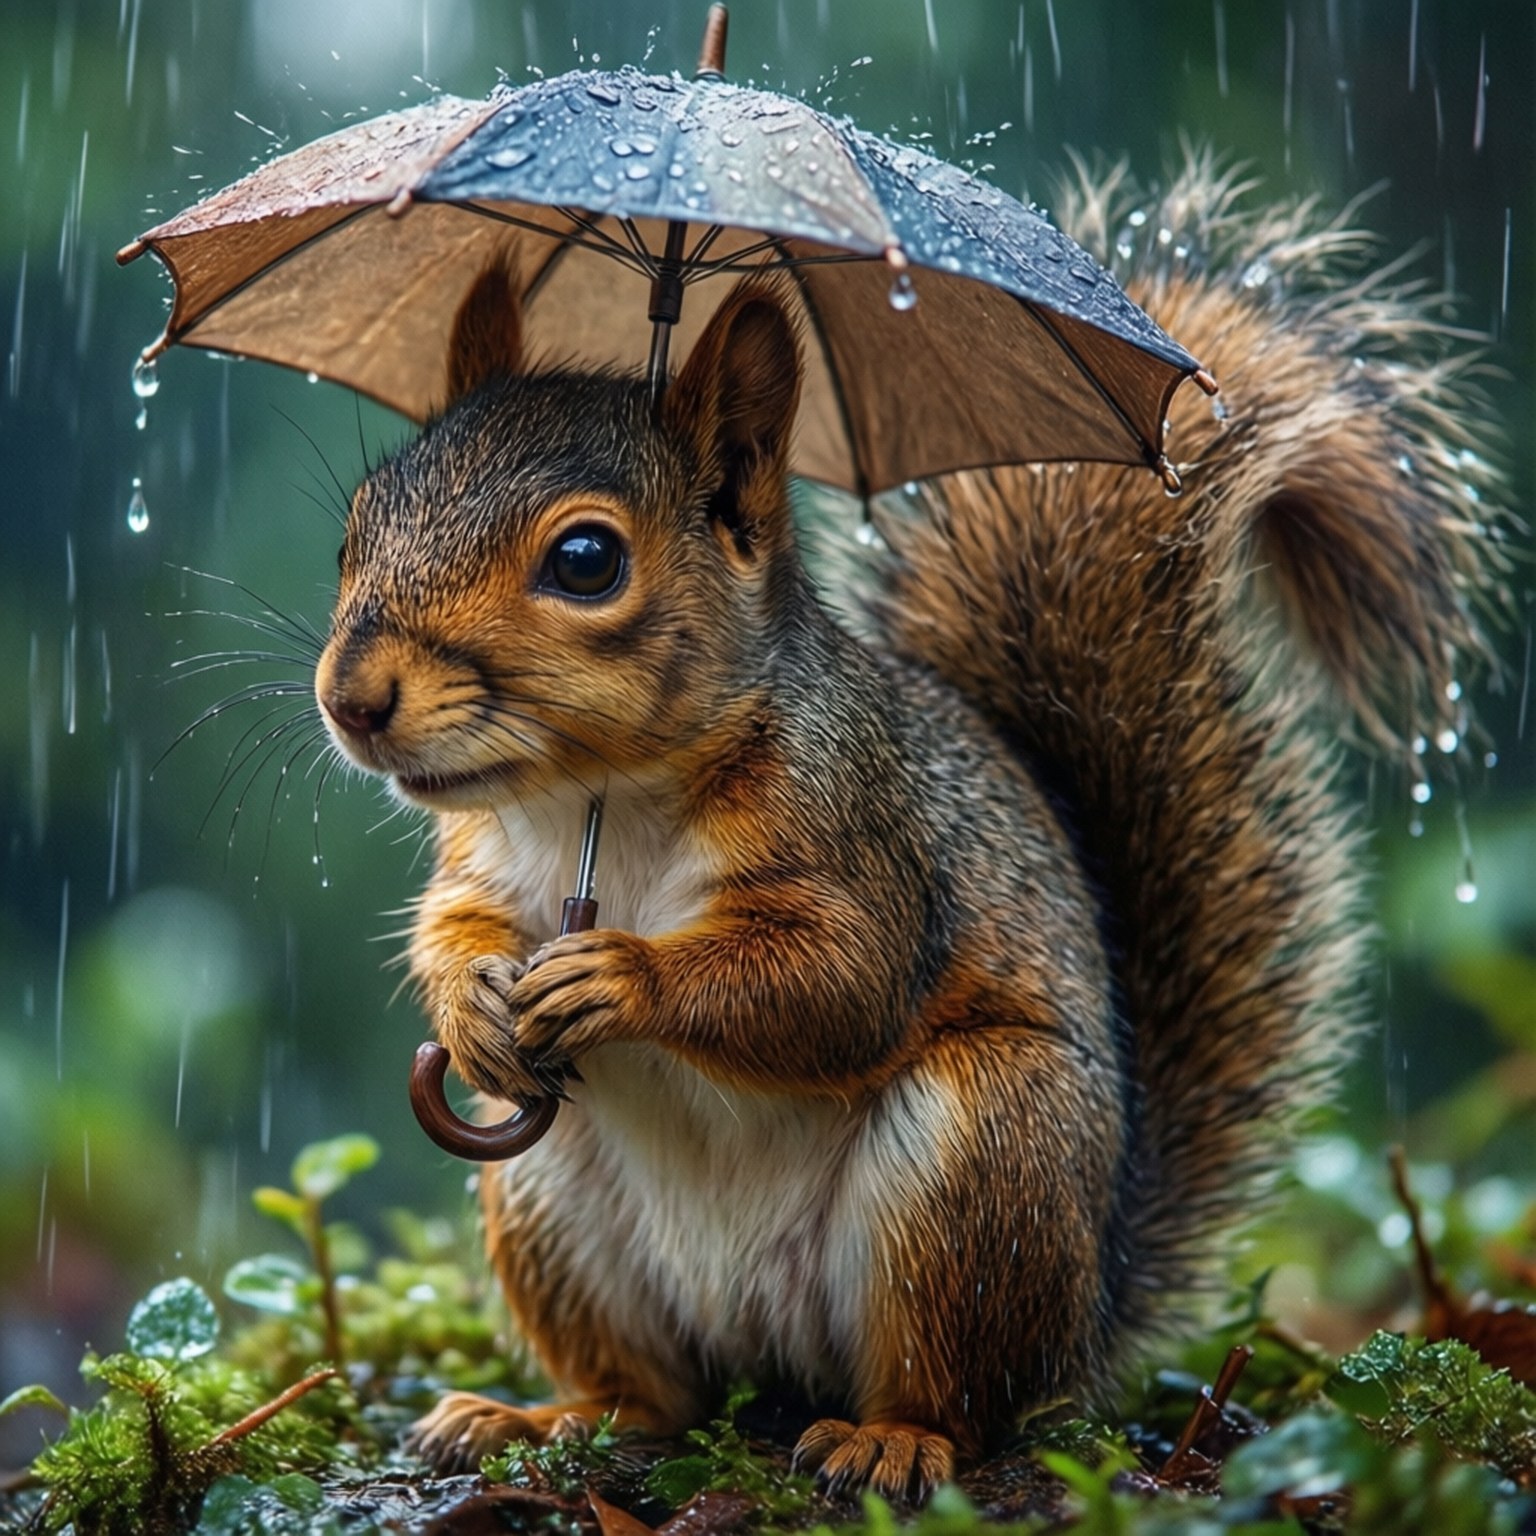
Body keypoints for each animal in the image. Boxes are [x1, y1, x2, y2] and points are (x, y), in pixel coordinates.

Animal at [313, 156, 1500, 1500]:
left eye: (584, 560)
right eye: (359, 523)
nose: (353, 700)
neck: (597, 802)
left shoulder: (866, 829)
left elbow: (844, 982)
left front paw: (622, 977)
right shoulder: (485, 860)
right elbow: (455, 928)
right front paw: (474, 1002)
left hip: (983, 1159)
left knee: (961, 1396)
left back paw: (890, 1439)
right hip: (549, 1200)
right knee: (656, 1400)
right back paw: (542, 1418)